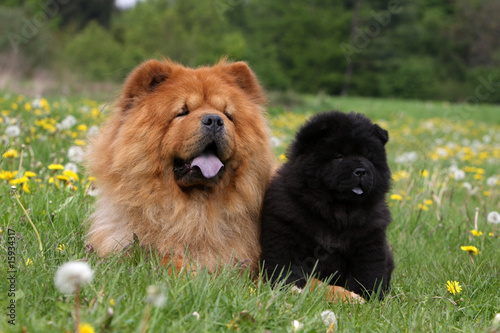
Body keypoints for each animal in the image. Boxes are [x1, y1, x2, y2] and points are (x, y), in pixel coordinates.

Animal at [260, 111, 392, 300]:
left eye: (367, 157)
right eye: (339, 156)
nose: (361, 171)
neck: (338, 210)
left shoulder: (369, 240)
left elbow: (368, 271)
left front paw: (368, 296)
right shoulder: (284, 230)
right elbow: (284, 263)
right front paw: (288, 287)